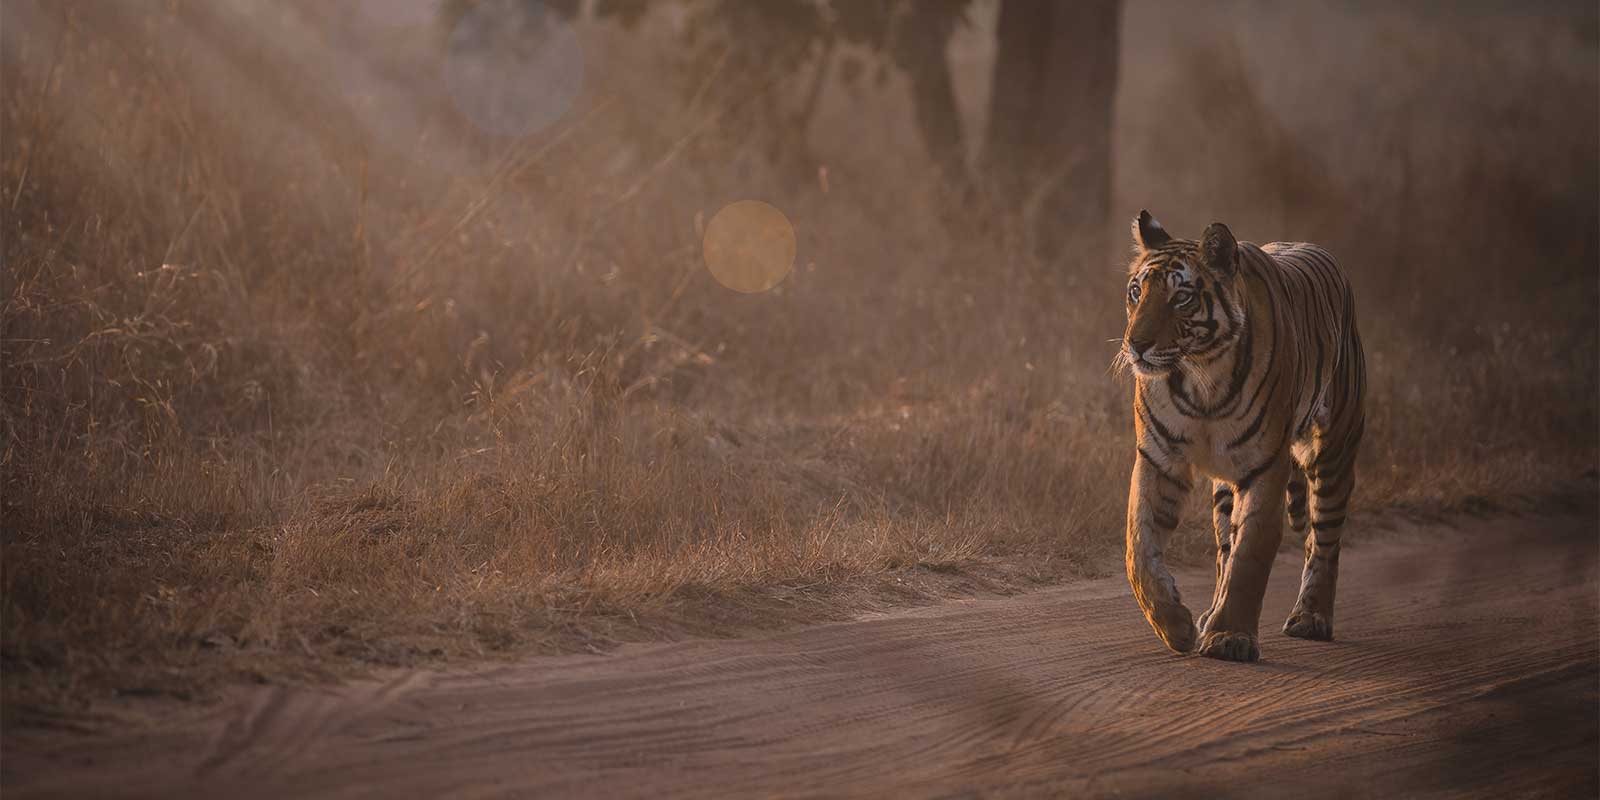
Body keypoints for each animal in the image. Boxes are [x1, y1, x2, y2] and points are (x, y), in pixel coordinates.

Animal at [1117, 210, 1366, 662]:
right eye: (1136, 292)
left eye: (1181, 297)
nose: (1136, 344)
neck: (1201, 379)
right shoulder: (1159, 458)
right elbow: (1138, 549)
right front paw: (1175, 626)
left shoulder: (1266, 465)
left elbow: (1251, 552)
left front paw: (1230, 637)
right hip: (1225, 487)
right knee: (1224, 549)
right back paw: (1209, 614)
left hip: (1334, 450)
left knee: (1323, 540)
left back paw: (1311, 617)